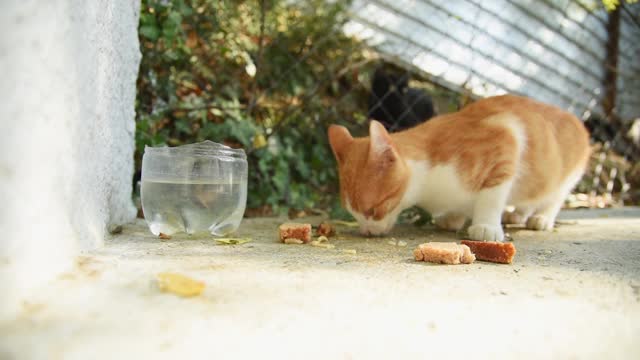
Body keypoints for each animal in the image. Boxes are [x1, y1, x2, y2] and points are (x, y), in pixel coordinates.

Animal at [330, 95, 592, 242]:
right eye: (352, 213)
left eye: (373, 210)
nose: (366, 231)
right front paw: (454, 217)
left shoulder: (507, 134)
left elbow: (492, 195)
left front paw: (486, 225)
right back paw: (518, 213)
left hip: (568, 174)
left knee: (555, 197)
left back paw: (542, 217)